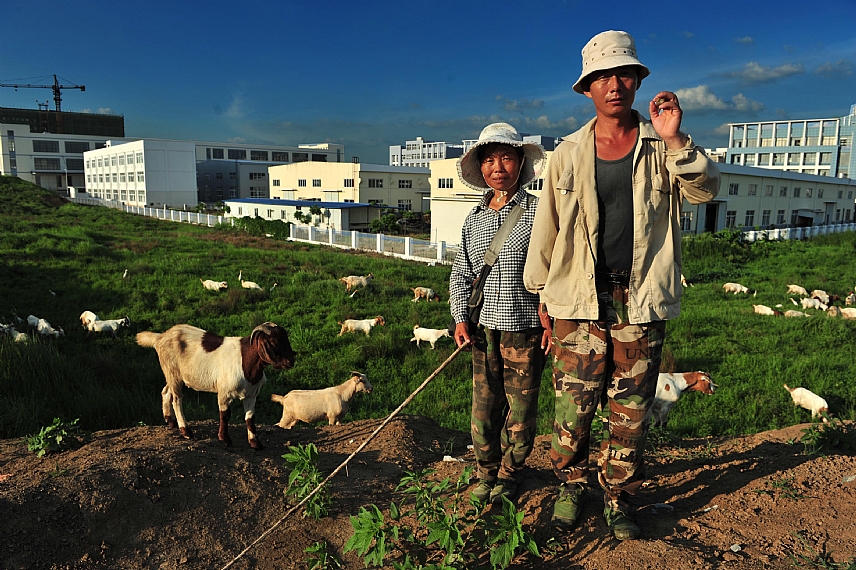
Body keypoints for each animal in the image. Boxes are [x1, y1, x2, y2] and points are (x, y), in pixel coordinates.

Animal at [135, 320, 294, 448]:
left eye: (286, 339)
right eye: (273, 342)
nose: (290, 361)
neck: (246, 361)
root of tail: (160, 337)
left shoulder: (251, 394)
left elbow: (250, 418)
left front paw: (255, 443)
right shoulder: (224, 392)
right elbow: (225, 415)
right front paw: (224, 439)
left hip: (174, 375)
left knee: (166, 391)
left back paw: (171, 421)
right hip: (172, 371)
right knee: (177, 399)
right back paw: (186, 431)